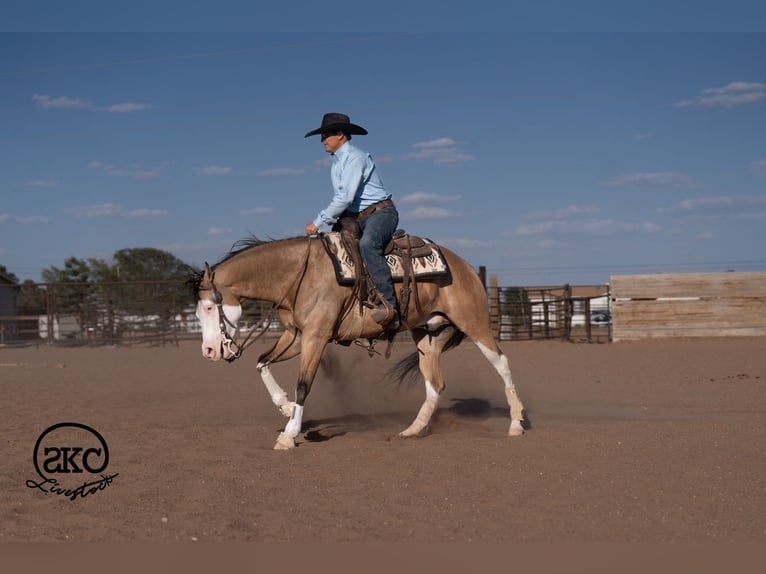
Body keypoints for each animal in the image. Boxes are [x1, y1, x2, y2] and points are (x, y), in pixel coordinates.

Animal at [192, 235, 526, 450]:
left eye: (209, 307)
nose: (208, 351)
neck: (299, 275)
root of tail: (466, 266)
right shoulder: (296, 336)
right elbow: (261, 363)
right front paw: (285, 407)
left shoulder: (316, 337)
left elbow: (303, 384)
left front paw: (289, 434)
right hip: (426, 336)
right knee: (435, 385)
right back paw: (412, 430)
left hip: (475, 323)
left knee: (502, 363)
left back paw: (516, 423)